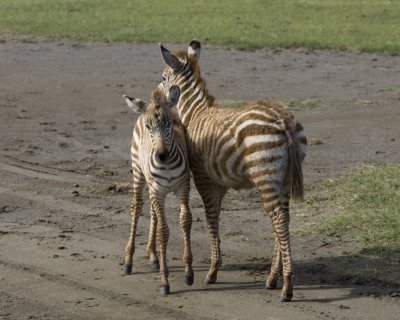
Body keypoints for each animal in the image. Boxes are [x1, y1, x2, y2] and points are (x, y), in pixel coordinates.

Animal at [122, 85, 194, 296]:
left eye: (169, 124)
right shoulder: (157, 190)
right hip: (139, 173)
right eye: (149, 127)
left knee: (153, 212)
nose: (162, 156)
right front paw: (165, 281)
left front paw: (188, 273)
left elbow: (185, 221)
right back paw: (128, 260)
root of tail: (144, 105)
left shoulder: (183, 187)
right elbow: (163, 230)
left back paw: (153, 256)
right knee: (137, 207)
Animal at [155, 41, 306, 302]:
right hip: (284, 181)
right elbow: (214, 216)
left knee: (278, 218)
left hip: (265, 176)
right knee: (284, 217)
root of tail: (282, 119)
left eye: (164, 77)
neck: (196, 113)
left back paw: (287, 286)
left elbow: (210, 217)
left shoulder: (204, 179)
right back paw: (272, 278)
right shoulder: (220, 182)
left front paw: (213, 271)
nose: (154, 97)